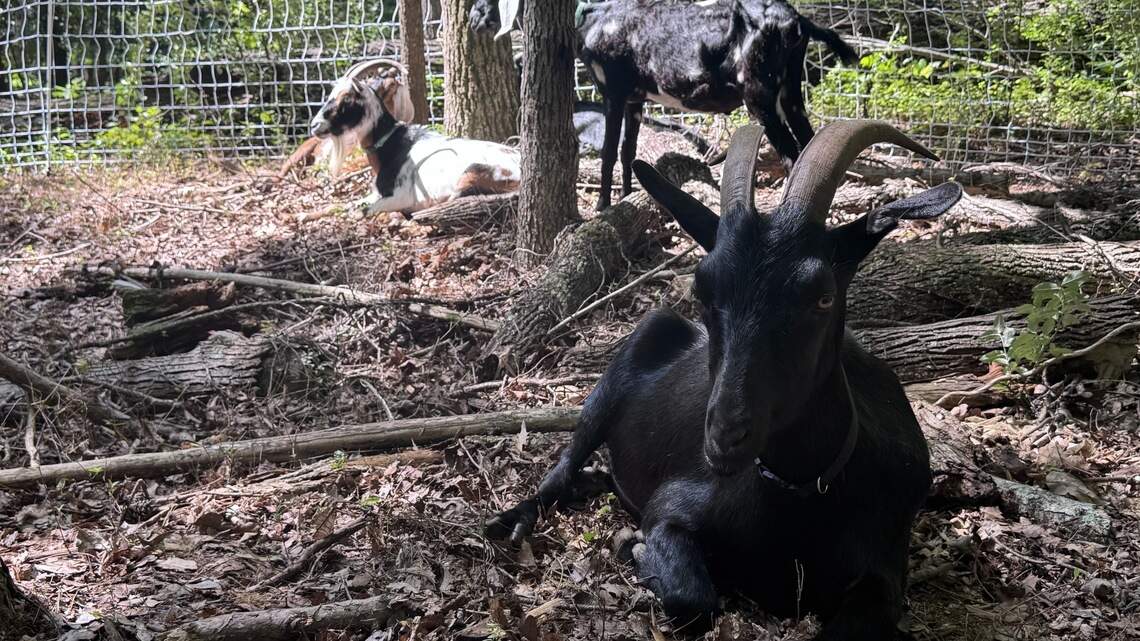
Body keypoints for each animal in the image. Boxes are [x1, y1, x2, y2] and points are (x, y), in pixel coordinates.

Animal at [308, 59, 520, 215]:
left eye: (346, 98)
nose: (314, 125)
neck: (392, 143)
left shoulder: (399, 196)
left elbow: (360, 212)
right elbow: (345, 205)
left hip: (473, 173)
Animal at [471, 0, 858, 211]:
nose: (474, 19)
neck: (596, 16)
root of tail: (797, 20)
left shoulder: (613, 92)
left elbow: (609, 152)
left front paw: (602, 206)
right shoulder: (636, 99)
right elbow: (628, 151)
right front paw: (627, 197)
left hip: (759, 93)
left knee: (792, 154)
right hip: (790, 93)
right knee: (809, 142)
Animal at [486, 120, 963, 638]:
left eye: (823, 297)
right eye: (702, 288)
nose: (724, 437)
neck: (798, 491)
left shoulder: (886, 568)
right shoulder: (670, 508)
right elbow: (692, 598)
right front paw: (634, 548)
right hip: (608, 390)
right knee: (564, 464)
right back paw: (517, 518)